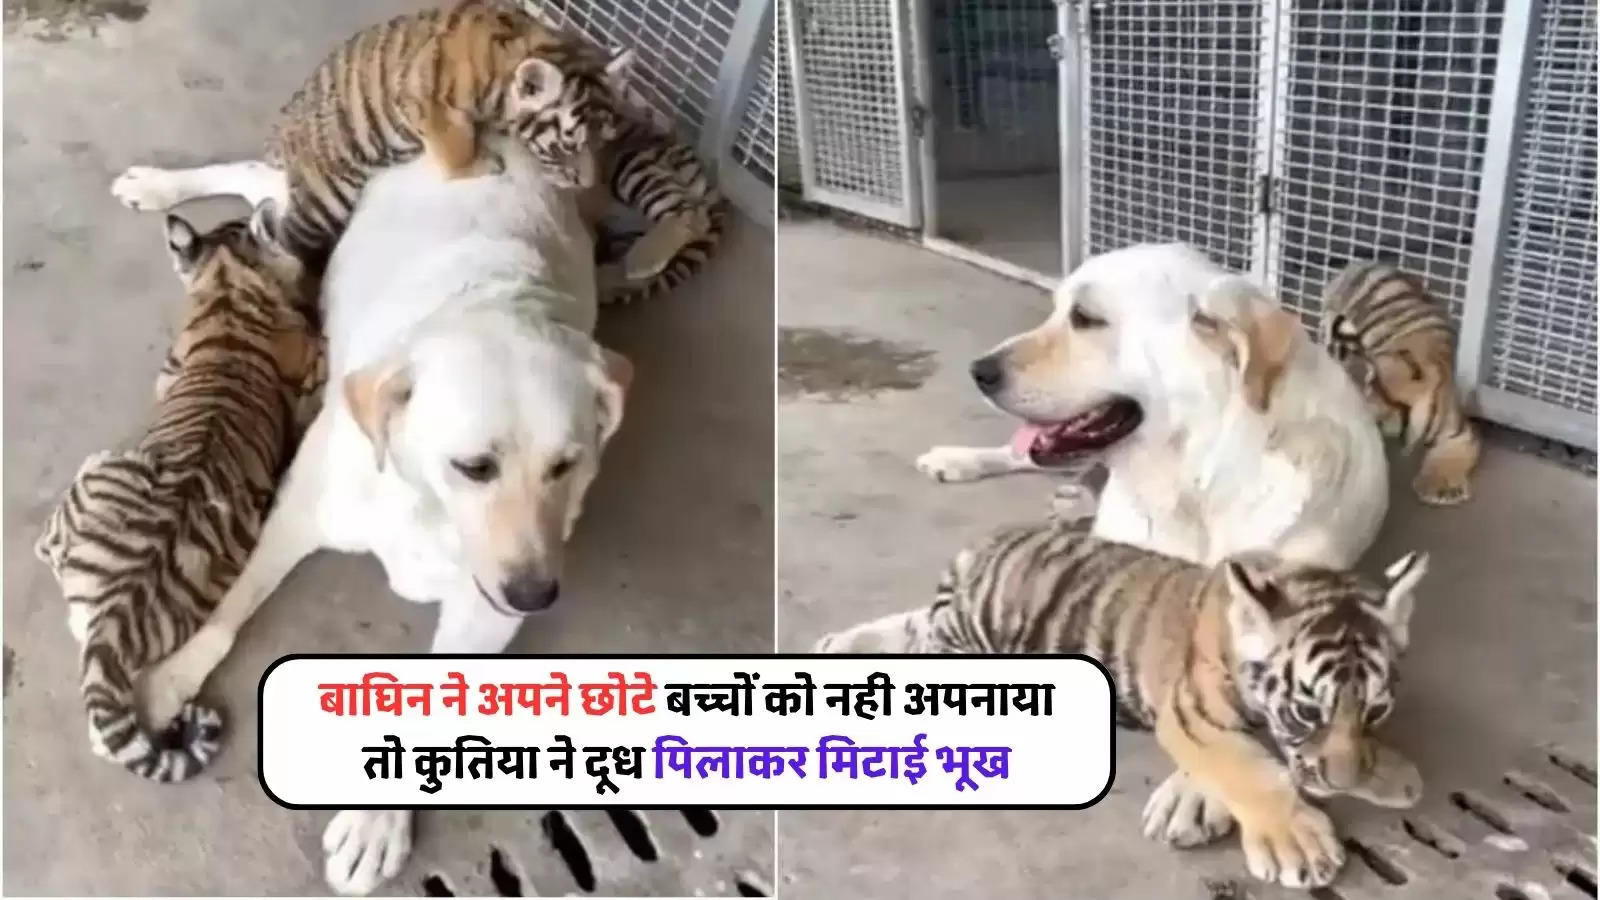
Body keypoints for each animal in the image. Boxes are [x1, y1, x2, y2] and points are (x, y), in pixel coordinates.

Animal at [106, 129, 627, 890]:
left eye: (568, 464)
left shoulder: (485, 610)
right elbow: (230, 608)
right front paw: (178, 672)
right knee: (258, 178)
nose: (535, 595)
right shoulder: (297, 508)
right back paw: (160, 186)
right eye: (474, 466)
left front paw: (377, 823)